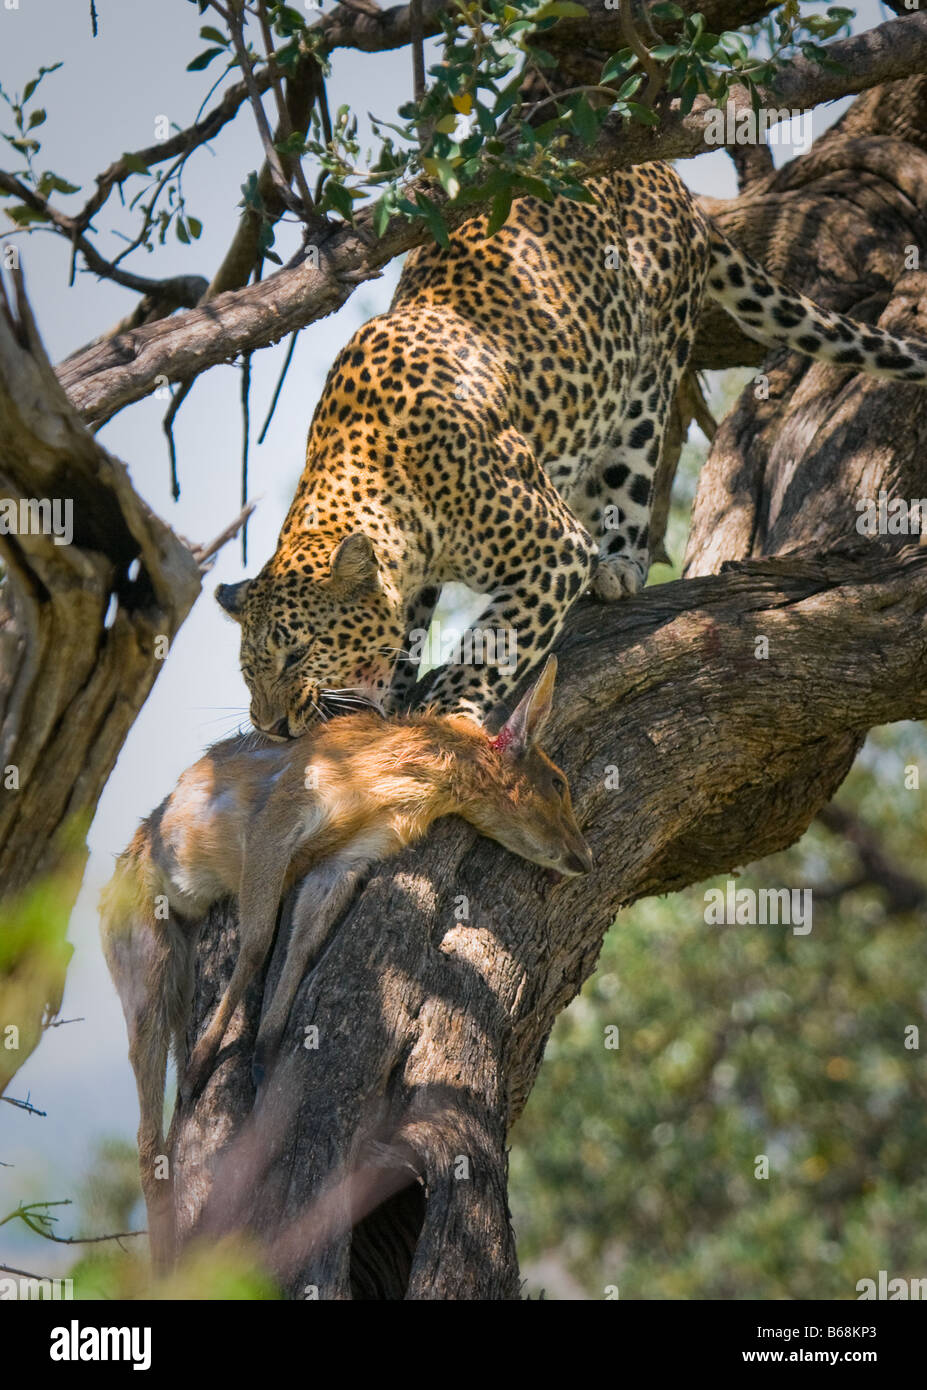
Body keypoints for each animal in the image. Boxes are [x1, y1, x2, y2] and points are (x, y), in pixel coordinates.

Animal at [214, 159, 927, 739]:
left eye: (299, 652)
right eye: (247, 670)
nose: (271, 726)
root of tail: (662, 171)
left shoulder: (550, 551)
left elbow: (494, 643)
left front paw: (448, 710)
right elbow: (408, 630)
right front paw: (392, 689)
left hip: (647, 376)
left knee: (631, 472)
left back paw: (619, 567)